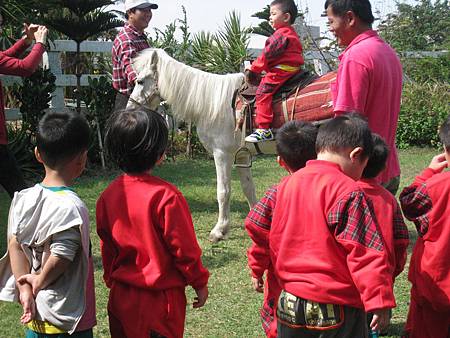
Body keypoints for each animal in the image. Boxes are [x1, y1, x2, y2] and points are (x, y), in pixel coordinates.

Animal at [128, 48, 258, 243]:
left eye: (140, 81)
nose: (130, 108)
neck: (214, 104)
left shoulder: (222, 154)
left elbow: (223, 191)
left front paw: (219, 230)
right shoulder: (241, 155)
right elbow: (248, 188)